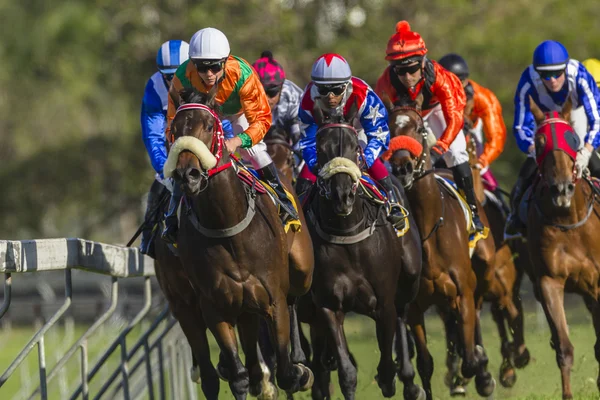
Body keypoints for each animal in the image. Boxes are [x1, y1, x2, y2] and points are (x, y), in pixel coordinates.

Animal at [163, 87, 314, 400]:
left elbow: (285, 373)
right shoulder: (215, 308)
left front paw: (296, 371)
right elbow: (240, 377)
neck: (227, 227)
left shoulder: (273, 299)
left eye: (209, 126)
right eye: (174, 129)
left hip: (301, 269)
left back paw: (300, 361)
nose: (186, 175)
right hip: (220, 308)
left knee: (294, 298)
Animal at [302, 102, 424, 400]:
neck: (348, 234)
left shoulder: (384, 303)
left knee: (403, 315)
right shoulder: (328, 305)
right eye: (320, 148)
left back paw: (409, 380)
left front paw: (393, 378)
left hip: (409, 279)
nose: (342, 196)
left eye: (354, 147)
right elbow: (347, 372)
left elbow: (387, 363)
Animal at [384, 93, 496, 400]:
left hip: (481, 272)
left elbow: (470, 358)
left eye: (418, 128)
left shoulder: (462, 291)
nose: (402, 167)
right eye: (389, 128)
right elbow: (425, 364)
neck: (429, 230)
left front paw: (477, 368)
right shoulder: (414, 307)